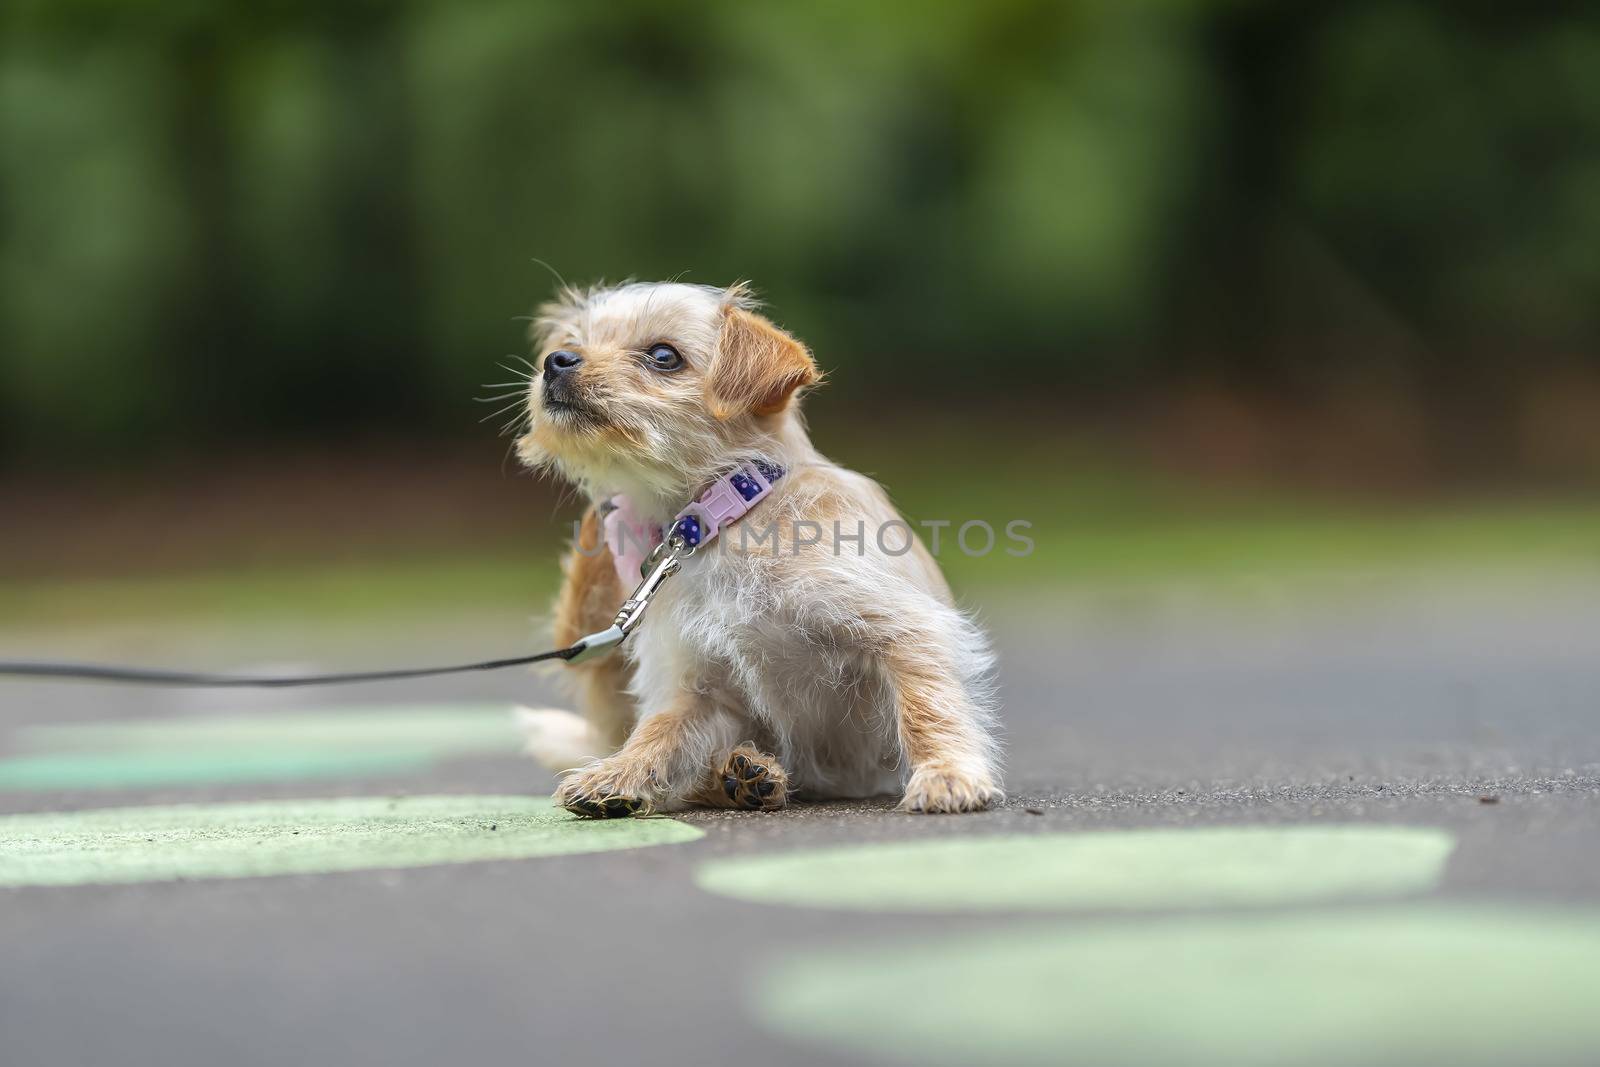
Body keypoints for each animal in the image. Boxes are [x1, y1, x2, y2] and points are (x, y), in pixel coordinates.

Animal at [518, 279, 998, 812]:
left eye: (663, 356)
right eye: (573, 342)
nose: (557, 360)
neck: (722, 523)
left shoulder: (901, 629)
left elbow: (926, 705)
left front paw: (945, 772)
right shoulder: (700, 688)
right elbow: (659, 732)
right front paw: (617, 774)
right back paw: (740, 775)